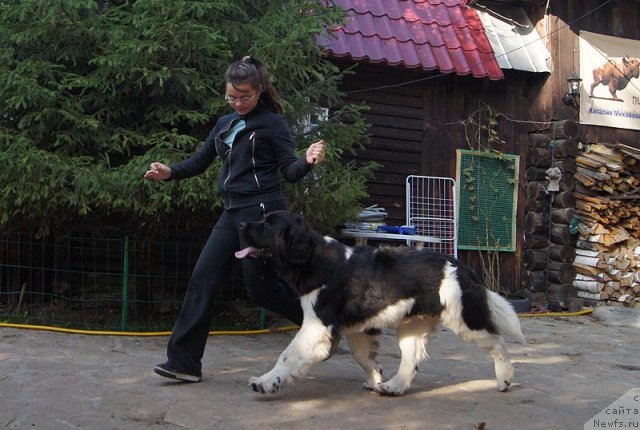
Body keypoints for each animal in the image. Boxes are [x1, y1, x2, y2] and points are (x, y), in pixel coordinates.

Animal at [236, 212, 524, 396]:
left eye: (267, 224)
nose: (241, 223)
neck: (315, 260)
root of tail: (461, 266)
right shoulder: (356, 325)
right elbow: (363, 355)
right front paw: (375, 376)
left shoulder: (318, 325)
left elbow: (288, 355)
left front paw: (265, 382)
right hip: (412, 326)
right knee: (411, 360)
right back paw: (393, 386)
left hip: (463, 319)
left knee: (498, 343)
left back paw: (504, 379)